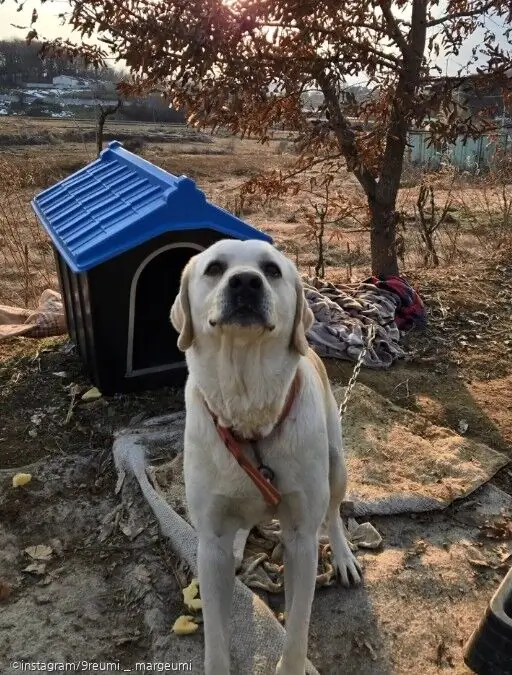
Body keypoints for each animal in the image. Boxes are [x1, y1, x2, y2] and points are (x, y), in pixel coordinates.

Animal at [170, 240, 362, 672]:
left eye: (272, 271)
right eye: (215, 268)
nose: (245, 282)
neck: (249, 411)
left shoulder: (301, 539)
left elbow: (297, 627)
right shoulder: (209, 542)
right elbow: (216, 635)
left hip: (336, 465)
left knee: (334, 514)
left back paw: (343, 556)